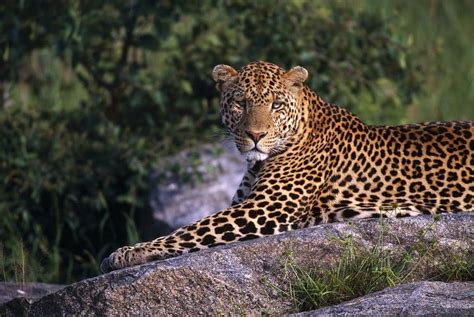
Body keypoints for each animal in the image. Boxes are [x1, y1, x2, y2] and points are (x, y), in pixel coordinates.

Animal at [100, 60, 474, 270]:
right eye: (240, 102)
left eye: (276, 104)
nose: (255, 135)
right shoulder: (247, 204)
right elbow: (192, 228)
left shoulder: (266, 209)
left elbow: (191, 229)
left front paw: (126, 253)